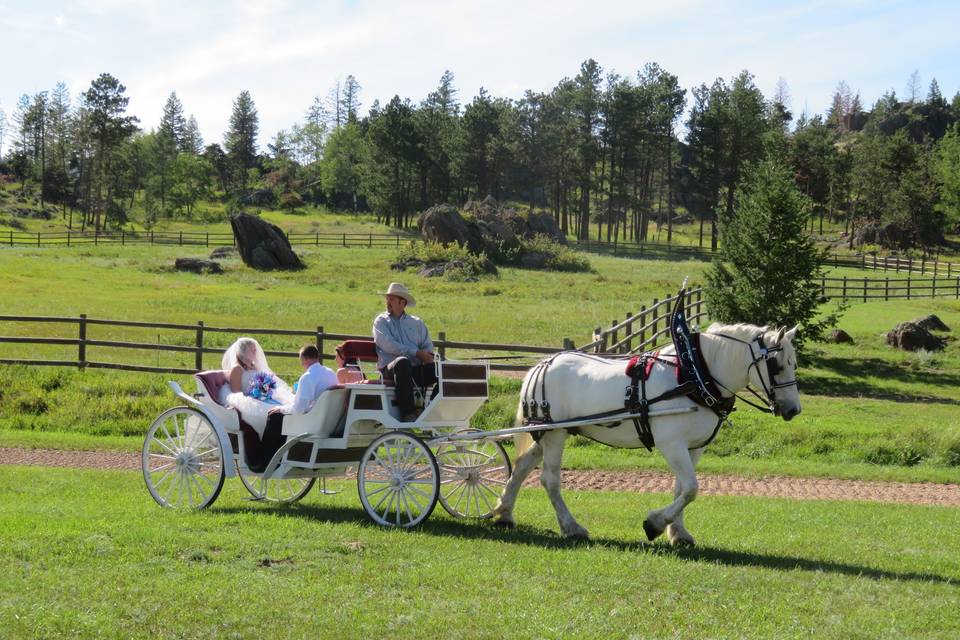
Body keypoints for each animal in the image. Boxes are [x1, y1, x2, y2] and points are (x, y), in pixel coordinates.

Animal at [492, 322, 800, 548]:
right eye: (776, 365)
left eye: (793, 363)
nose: (793, 409)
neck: (693, 374)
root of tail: (542, 364)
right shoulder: (671, 443)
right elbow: (691, 488)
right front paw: (654, 524)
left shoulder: (693, 447)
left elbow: (681, 488)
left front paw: (678, 533)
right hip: (555, 434)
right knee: (550, 480)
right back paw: (572, 527)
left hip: (542, 434)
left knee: (520, 469)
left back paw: (504, 514)